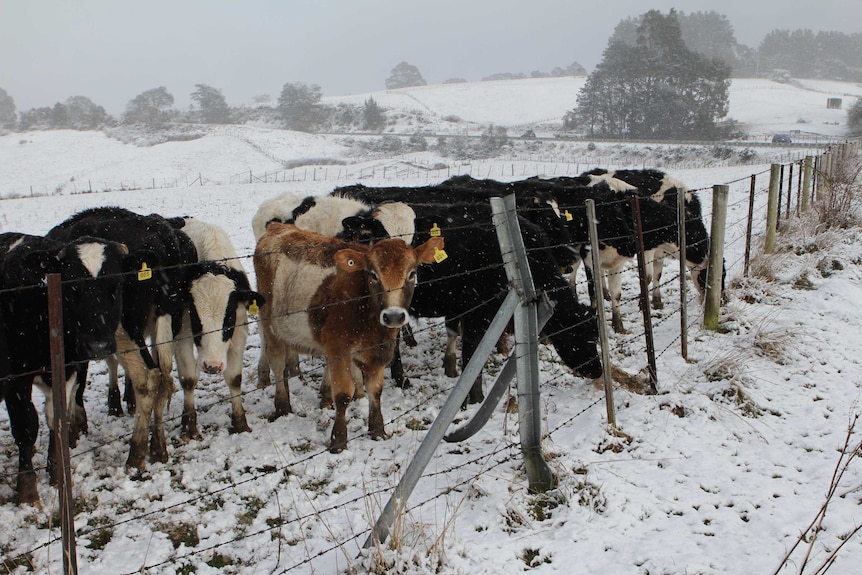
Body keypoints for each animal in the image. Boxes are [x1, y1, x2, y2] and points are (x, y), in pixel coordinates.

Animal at [0, 233, 126, 504]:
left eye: (116, 286)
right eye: (72, 287)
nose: (98, 345)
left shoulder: (68, 368)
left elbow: (58, 418)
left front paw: (57, 470)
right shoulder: (17, 378)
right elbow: (26, 426)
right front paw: (27, 489)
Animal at [46, 209, 199, 474]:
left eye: (114, 285)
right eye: (74, 285)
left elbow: (72, 388)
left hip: (124, 331)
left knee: (148, 378)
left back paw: (136, 454)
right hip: (170, 318)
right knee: (164, 378)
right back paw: (158, 447)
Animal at [251, 223, 442, 452]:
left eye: (412, 274)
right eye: (373, 275)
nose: (394, 316)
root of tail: (278, 226)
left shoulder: (378, 351)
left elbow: (376, 390)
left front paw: (377, 430)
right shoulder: (339, 348)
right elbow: (343, 395)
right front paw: (338, 441)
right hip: (270, 325)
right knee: (278, 364)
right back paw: (282, 406)